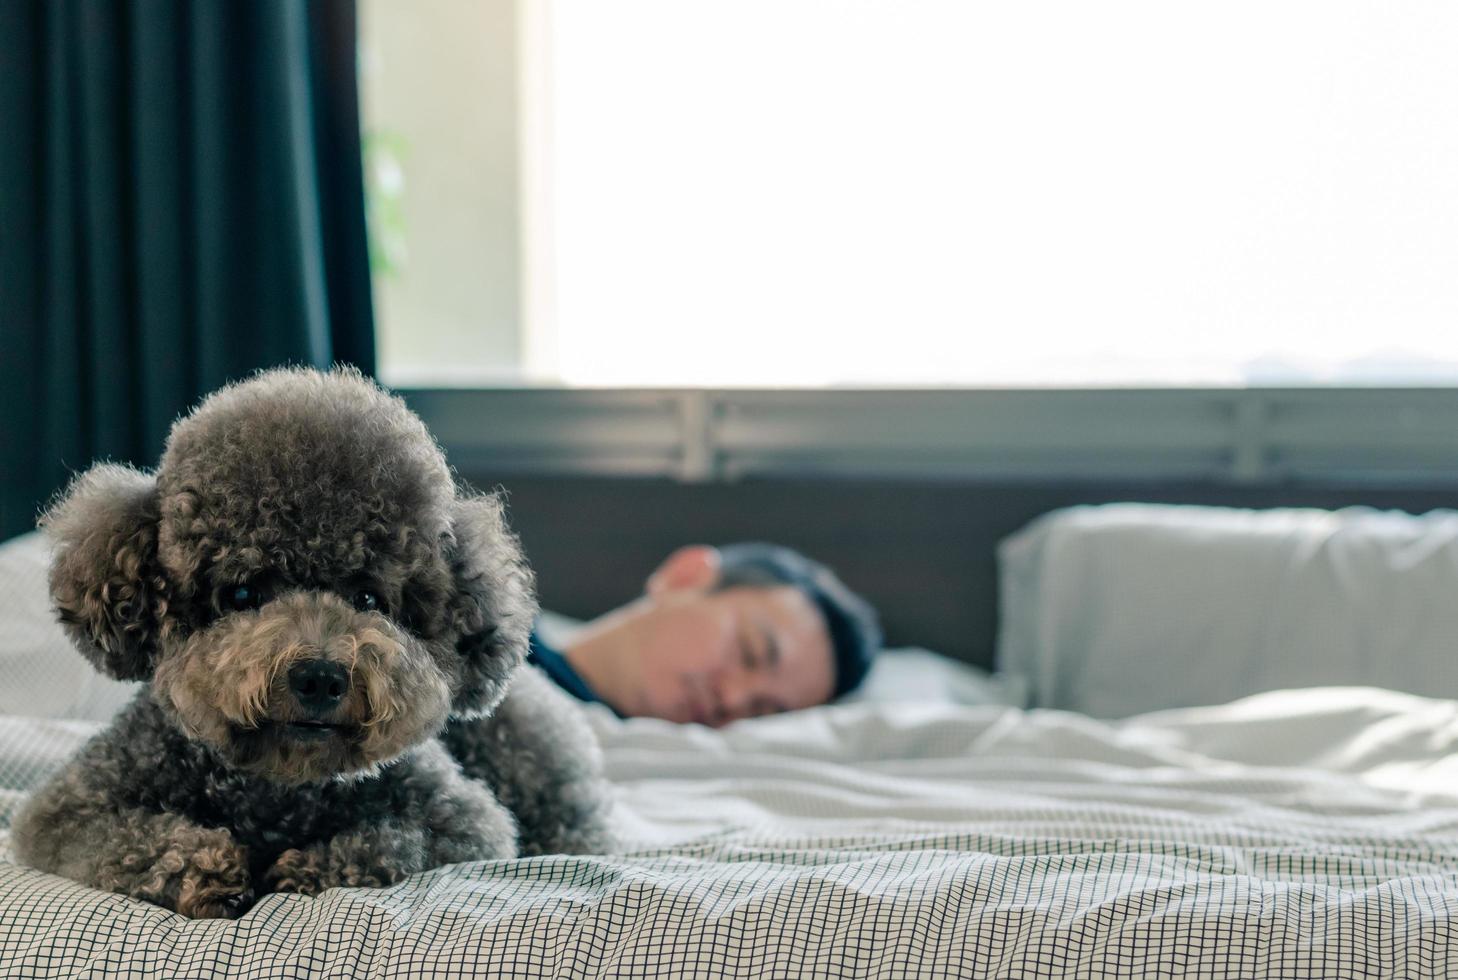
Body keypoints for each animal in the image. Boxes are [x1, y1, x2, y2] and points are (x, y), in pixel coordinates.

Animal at [12, 366, 615, 921]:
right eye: (242, 592)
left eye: (369, 597)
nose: (320, 676)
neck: (279, 787)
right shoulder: (69, 811)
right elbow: (131, 841)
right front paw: (209, 872)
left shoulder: (465, 821)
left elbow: (395, 840)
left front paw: (309, 869)